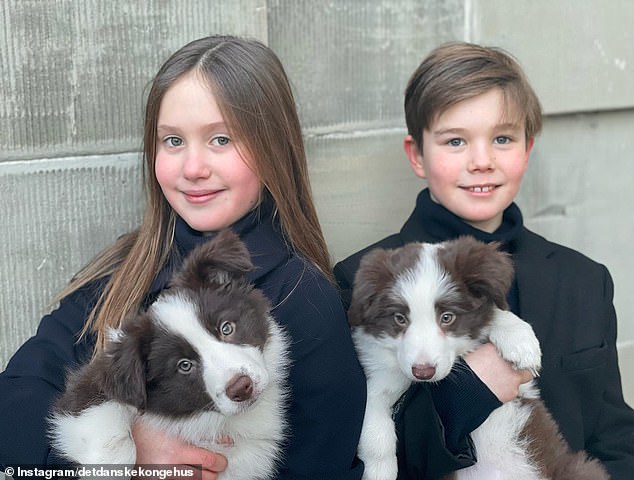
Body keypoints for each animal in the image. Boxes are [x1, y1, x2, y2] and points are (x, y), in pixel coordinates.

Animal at [49, 231, 288, 478]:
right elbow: (111, 435)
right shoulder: (86, 386)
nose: (241, 388)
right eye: (185, 365)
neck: (208, 419)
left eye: (226, 328)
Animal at [348, 236, 604, 480]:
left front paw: (520, 341)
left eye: (447, 317)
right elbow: (374, 428)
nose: (423, 372)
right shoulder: (378, 378)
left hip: (578, 469)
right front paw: (380, 472)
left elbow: (494, 313)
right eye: (399, 319)